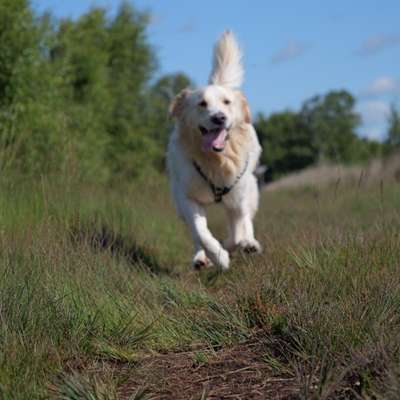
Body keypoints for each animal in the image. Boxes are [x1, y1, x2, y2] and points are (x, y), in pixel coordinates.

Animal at [166, 29, 262, 270]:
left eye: (227, 102)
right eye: (202, 103)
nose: (219, 118)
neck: (216, 161)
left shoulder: (238, 197)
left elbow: (239, 229)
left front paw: (236, 245)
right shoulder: (188, 199)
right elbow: (201, 233)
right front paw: (219, 256)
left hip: (249, 188)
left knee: (245, 221)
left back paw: (248, 244)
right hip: (178, 200)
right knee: (195, 234)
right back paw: (201, 259)